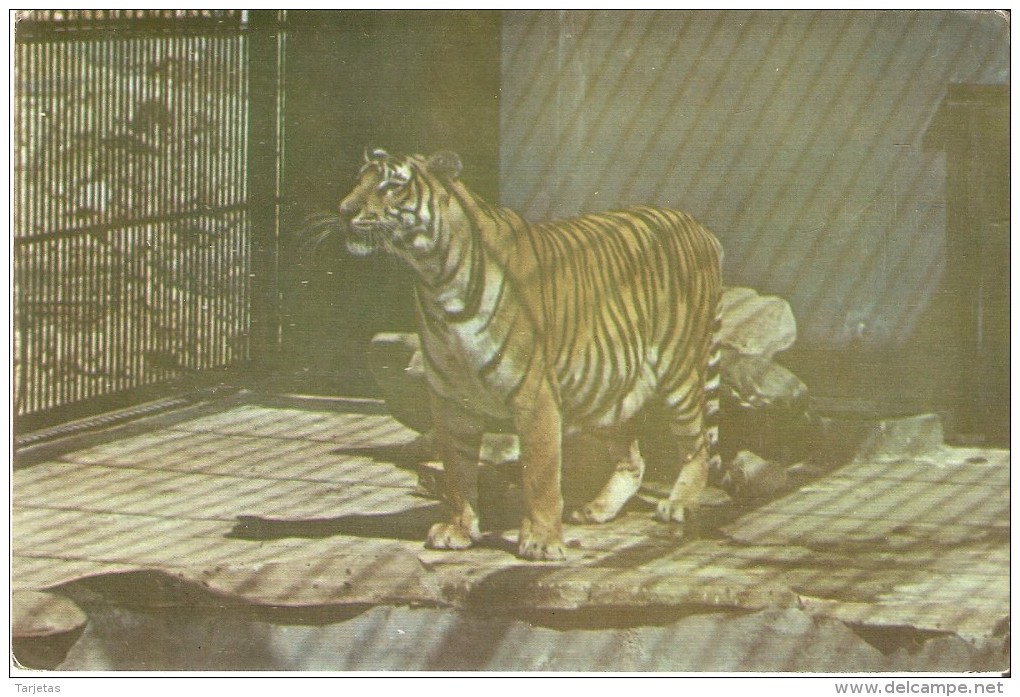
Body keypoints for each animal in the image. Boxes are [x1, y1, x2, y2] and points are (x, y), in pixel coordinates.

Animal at [338, 148, 722, 563]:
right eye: (358, 180)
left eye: (392, 185)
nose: (344, 210)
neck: (434, 278)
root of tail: (698, 226)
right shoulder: (450, 400)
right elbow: (457, 470)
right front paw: (458, 529)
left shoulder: (534, 394)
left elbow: (539, 473)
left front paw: (541, 541)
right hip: (607, 388)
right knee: (633, 458)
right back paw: (597, 509)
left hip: (680, 371)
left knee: (697, 444)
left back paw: (679, 503)